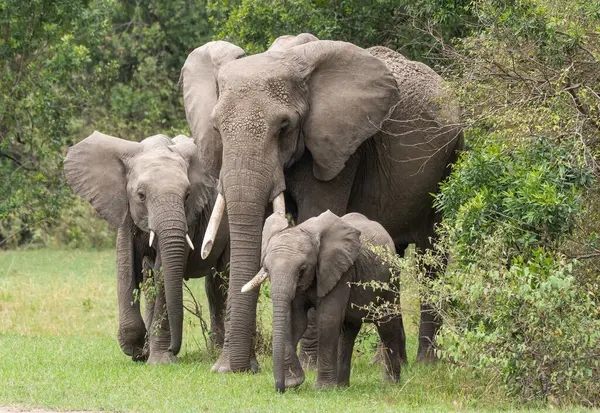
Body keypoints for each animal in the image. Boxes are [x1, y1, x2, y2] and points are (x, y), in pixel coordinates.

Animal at [62, 131, 227, 360]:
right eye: (141, 195)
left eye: (187, 195)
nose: (174, 349)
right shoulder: (124, 208)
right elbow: (126, 266)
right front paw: (137, 350)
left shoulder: (189, 218)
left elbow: (162, 272)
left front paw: (158, 359)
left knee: (220, 282)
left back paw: (216, 351)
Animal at [180, 34, 462, 370]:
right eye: (217, 128)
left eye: (284, 127)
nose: (231, 369)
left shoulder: (339, 150)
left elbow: (316, 216)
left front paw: (309, 365)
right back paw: (384, 362)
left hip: (448, 163)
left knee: (431, 256)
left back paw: (425, 363)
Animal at [244, 211, 408, 392]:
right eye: (266, 269)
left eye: (302, 270)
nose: (280, 389)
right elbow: (296, 321)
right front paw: (295, 382)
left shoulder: (341, 271)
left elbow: (328, 319)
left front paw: (322, 389)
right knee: (348, 330)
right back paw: (342, 386)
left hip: (392, 278)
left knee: (386, 324)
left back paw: (390, 384)